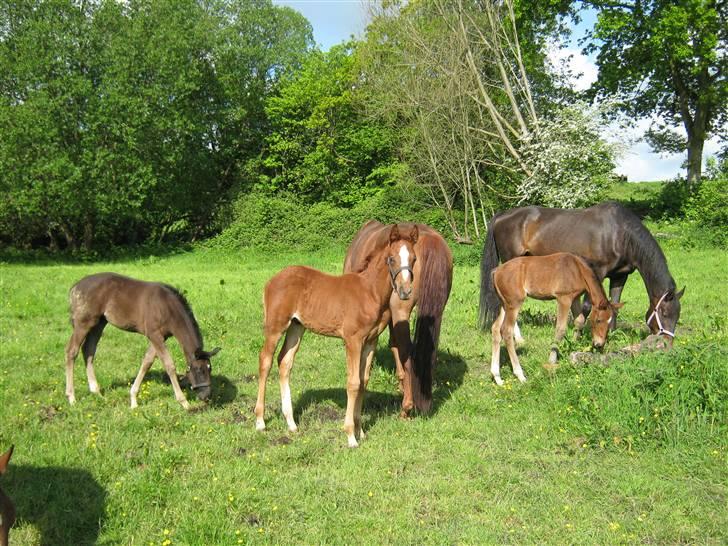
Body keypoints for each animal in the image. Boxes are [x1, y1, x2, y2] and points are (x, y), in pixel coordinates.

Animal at [255, 223, 418, 444]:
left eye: (414, 259)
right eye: (391, 258)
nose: (405, 291)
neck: (370, 292)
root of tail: (272, 280)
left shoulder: (370, 341)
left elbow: (363, 381)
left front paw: (361, 431)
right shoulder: (353, 340)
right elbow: (353, 382)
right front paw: (350, 436)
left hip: (297, 326)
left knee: (284, 362)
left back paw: (291, 423)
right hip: (276, 327)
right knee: (266, 360)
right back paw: (260, 421)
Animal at [480, 202, 684, 342]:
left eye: (677, 315)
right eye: (664, 313)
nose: (667, 343)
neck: (619, 233)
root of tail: (501, 216)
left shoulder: (620, 276)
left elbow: (615, 304)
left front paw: (611, 335)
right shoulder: (597, 272)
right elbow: (587, 307)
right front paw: (578, 336)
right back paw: (519, 338)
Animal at [490, 253, 620, 384]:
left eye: (609, 322)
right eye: (599, 320)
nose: (599, 344)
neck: (577, 269)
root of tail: (496, 271)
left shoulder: (575, 298)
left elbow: (580, 321)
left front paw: (573, 347)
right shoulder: (564, 298)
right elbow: (561, 329)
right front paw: (552, 360)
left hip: (505, 304)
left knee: (496, 329)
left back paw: (497, 377)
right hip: (514, 303)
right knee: (506, 330)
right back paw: (520, 375)